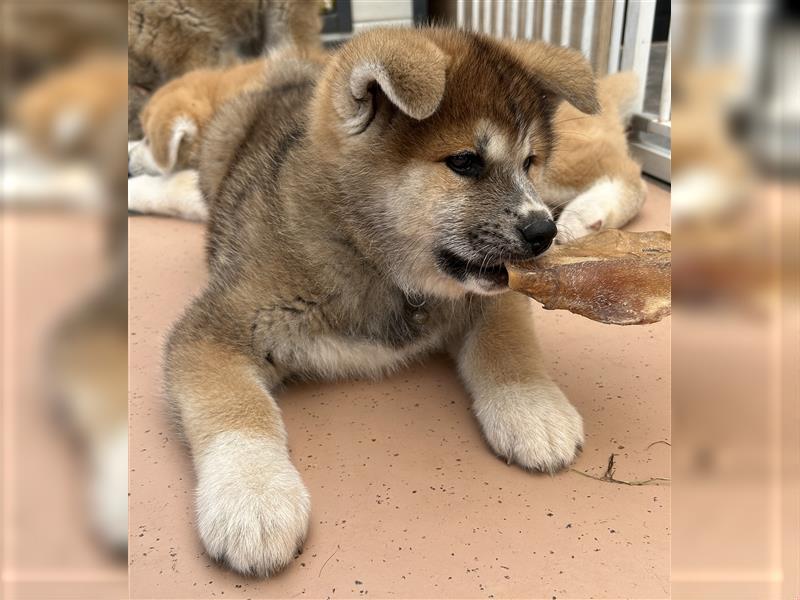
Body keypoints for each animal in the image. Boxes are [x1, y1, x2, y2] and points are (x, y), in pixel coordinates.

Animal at [166, 28, 632, 576]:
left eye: (529, 162)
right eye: (464, 162)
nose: (544, 232)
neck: (376, 265)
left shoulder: (495, 296)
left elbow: (507, 343)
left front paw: (532, 407)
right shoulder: (216, 327)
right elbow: (236, 406)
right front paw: (252, 498)